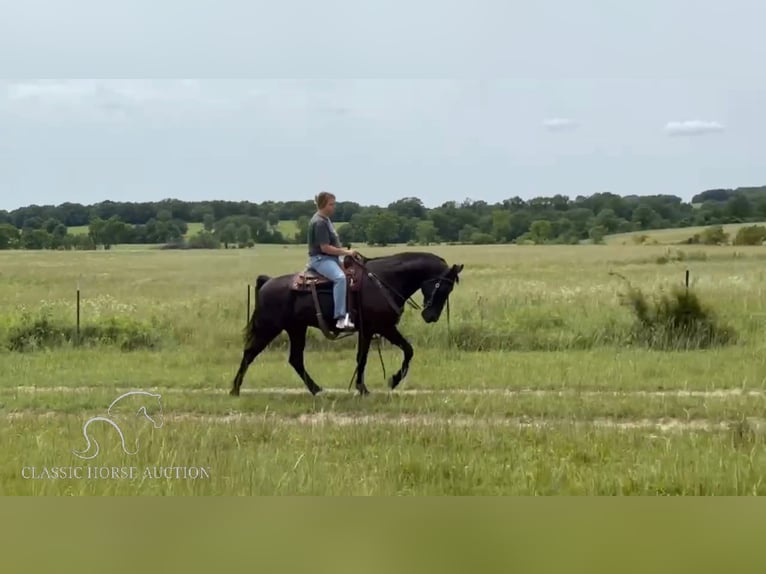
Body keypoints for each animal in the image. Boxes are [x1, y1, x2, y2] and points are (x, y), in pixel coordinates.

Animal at [231, 252, 464, 396]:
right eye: (442, 287)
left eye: (450, 289)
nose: (430, 316)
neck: (384, 281)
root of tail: (267, 282)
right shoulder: (381, 328)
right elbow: (400, 351)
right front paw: (389, 381)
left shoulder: (371, 330)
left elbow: (373, 355)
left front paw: (367, 386)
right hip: (268, 327)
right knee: (249, 353)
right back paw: (235, 389)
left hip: (296, 328)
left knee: (295, 359)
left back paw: (316, 389)